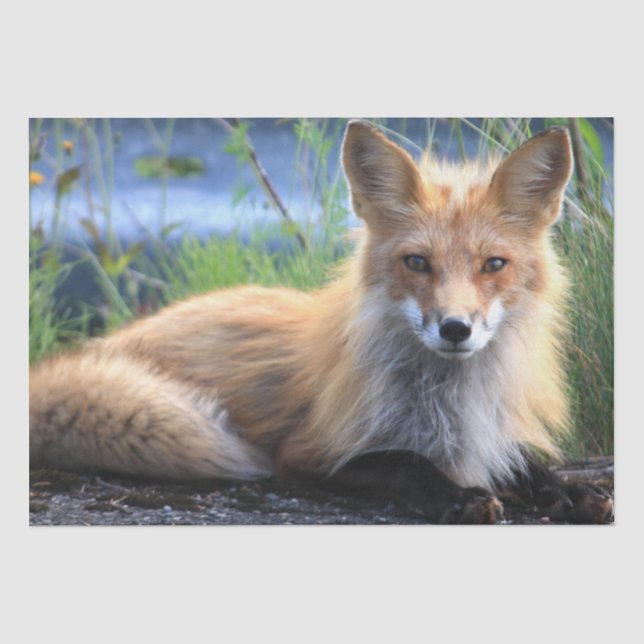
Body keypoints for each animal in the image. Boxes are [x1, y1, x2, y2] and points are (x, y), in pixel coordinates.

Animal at [30, 120, 613, 524]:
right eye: (416, 263)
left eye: (493, 265)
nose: (454, 329)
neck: (450, 400)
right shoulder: (312, 454)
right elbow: (408, 462)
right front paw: (461, 496)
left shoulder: (491, 431)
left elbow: (524, 463)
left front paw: (569, 490)